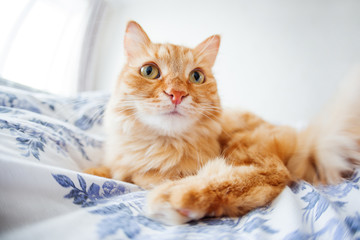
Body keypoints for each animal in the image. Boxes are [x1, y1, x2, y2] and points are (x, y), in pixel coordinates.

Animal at [85, 21, 360, 225]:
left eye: (196, 77)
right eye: (149, 71)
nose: (177, 94)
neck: (159, 146)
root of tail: (306, 141)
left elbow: (142, 177)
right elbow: (112, 171)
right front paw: (96, 172)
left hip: (248, 148)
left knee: (262, 177)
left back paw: (177, 196)